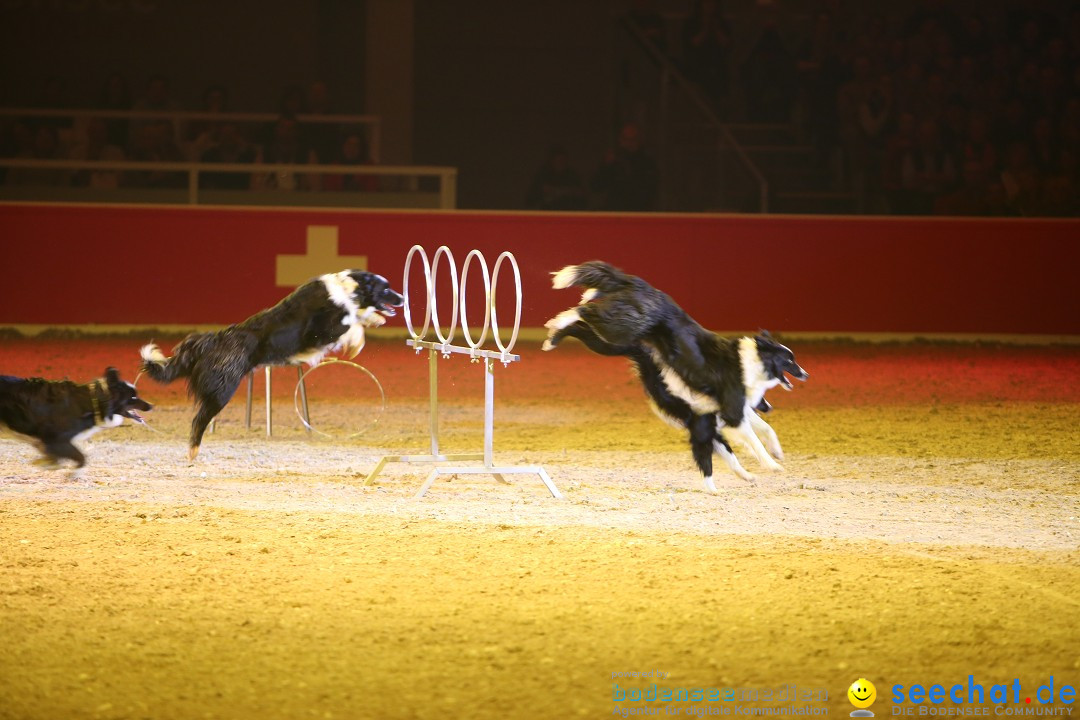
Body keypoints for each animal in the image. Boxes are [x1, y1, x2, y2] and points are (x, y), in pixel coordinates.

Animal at [139, 269, 401, 462]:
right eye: (386, 288)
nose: (403, 298)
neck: (348, 289)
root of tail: (210, 341)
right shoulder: (322, 331)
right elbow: (353, 323)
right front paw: (357, 341)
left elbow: (359, 317)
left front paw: (374, 318)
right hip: (222, 392)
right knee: (199, 420)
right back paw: (192, 452)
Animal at [544, 262, 807, 492]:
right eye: (790, 360)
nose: (805, 374)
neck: (752, 362)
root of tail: (641, 285)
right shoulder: (731, 413)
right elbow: (753, 441)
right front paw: (772, 465)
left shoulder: (729, 412)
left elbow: (764, 431)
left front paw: (775, 453)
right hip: (620, 328)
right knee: (584, 311)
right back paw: (556, 324)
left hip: (610, 340)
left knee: (582, 322)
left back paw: (553, 336)